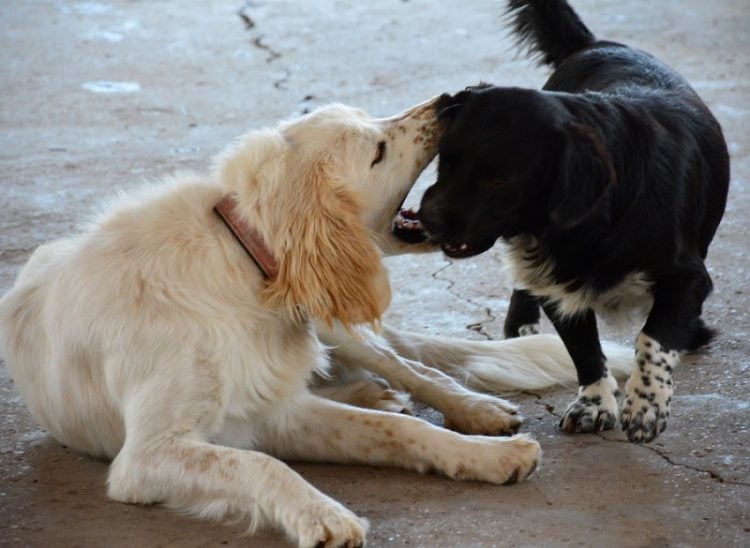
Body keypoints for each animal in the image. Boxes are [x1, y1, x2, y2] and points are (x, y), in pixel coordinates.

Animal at [0, 99, 636, 548]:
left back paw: (467, 408)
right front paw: (321, 513)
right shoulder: (153, 455)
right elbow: (264, 463)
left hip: (336, 323)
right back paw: (373, 392)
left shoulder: (275, 410)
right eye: (377, 149)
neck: (245, 268)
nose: (451, 102)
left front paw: (482, 456)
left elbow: (402, 431)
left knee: (406, 364)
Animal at [408, 0, 732, 444]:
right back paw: (522, 326)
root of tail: (596, 44)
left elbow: (653, 337)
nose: (429, 219)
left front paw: (646, 404)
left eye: (497, 180)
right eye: (446, 159)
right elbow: (583, 349)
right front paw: (594, 403)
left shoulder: (688, 277)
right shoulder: (558, 285)